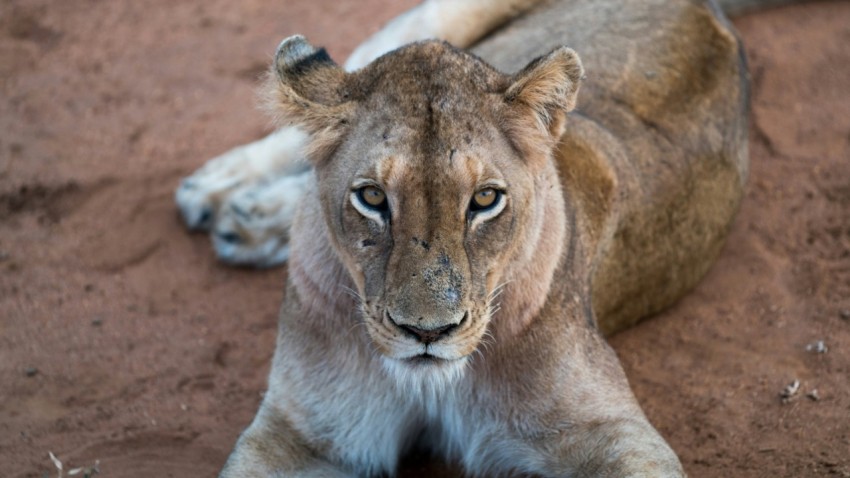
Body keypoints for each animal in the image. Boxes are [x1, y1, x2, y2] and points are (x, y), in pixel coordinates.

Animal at [174, 0, 776, 475]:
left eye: (485, 200)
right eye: (371, 198)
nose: (427, 332)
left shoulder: (610, 429)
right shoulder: (301, 433)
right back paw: (220, 193)